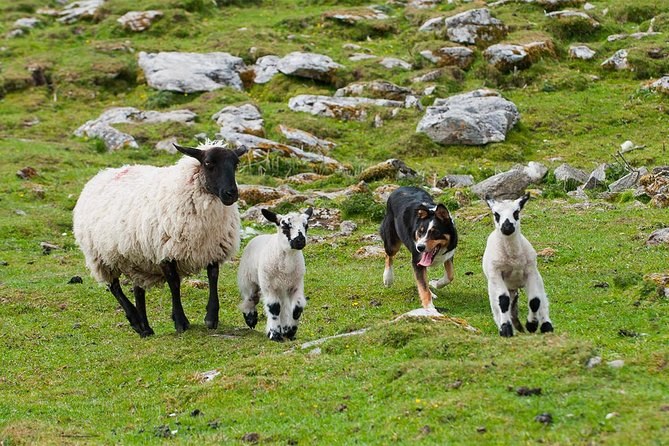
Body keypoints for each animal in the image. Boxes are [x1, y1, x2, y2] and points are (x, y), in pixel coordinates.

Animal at [72, 140, 247, 337]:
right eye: (208, 163)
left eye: (236, 164)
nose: (231, 193)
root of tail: (101, 174)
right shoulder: (164, 250)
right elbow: (174, 283)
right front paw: (180, 321)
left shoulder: (213, 247)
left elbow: (213, 276)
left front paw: (211, 317)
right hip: (101, 256)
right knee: (114, 287)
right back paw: (135, 319)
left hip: (136, 258)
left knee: (138, 290)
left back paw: (145, 328)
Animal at [237, 207, 313, 341]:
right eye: (285, 226)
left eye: (306, 225)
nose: (300, 241)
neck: (286, 267)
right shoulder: (269, 286)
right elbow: (274, 308)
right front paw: (275, 334)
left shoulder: (296, 284)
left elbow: (297, 308)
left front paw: (290, 332)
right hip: (248, 279)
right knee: (250, 298)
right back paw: (251, 319)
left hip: (281, 288)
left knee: (283, 305)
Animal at [482, 194, 554, 337]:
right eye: (496, 214)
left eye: (516, 212)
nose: (507, 227)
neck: (513, 257)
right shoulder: (496, 273)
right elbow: (503, 301)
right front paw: (506, 329)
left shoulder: (530, 271)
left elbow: (535, 301)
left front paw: (531, 325)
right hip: (494, 286)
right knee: (499, 306)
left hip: (536, 279)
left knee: (542, 300)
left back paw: (546, 326)